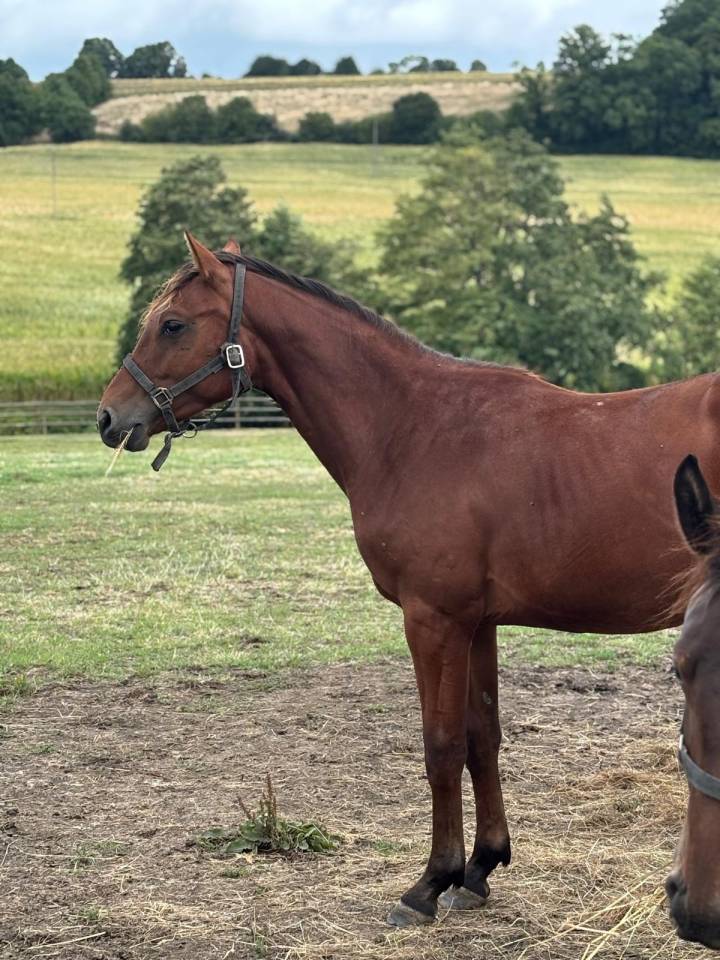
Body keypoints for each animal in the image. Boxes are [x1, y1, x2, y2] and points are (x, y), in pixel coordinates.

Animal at [98, 231, 720, 930]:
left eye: (173, 324)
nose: (108, 416)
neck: (414, 428)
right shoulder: (477, 623)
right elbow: (482, 738)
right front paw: (479, 869)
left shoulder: (433, 620)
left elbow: (441, 746)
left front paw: (429, 882)